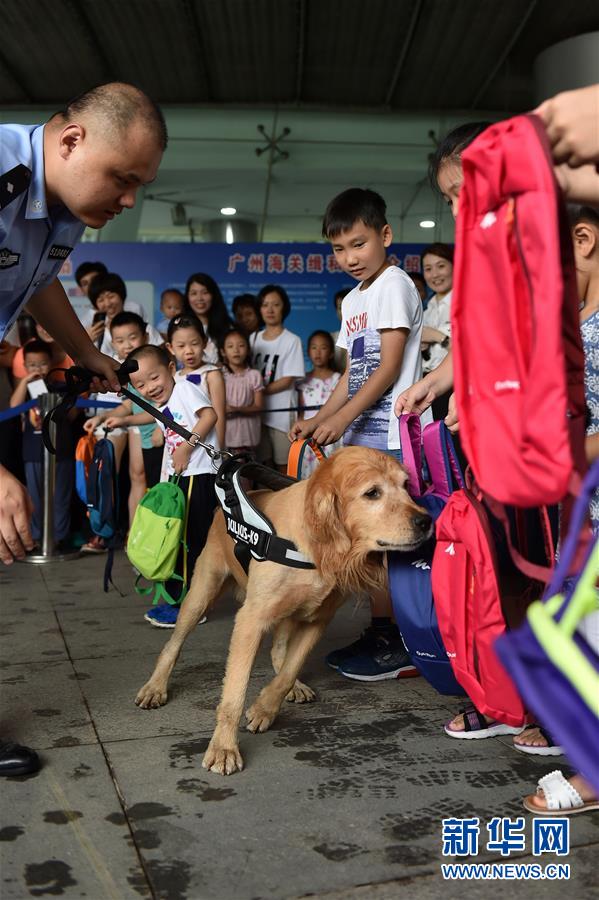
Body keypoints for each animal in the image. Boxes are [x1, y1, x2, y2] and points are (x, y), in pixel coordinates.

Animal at [136, 448, 432, 772]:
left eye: (406, 485)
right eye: (372, 493)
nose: (426, 521)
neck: (312, 545)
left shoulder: (318, 618)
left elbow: (290, 669)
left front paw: (266, 707)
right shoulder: (250, 619)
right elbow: (234, 693)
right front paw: (224, 747)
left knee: (279, 650)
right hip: (202, 591)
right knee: (173, 645)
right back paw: (155, 687)